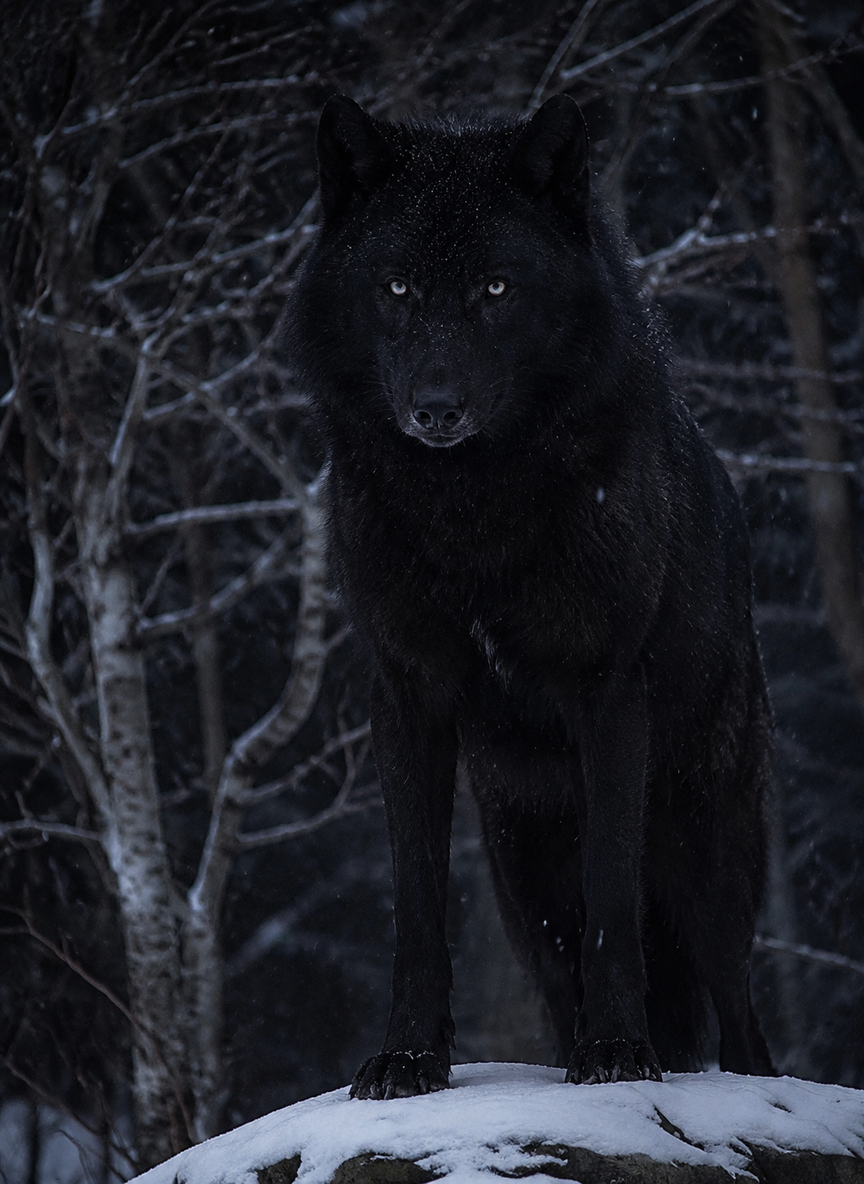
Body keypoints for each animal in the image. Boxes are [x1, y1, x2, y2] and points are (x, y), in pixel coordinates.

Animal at [290, 93, 774, 1099]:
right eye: (397, 288)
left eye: (496, 290)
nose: (435, 409)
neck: (471, 511)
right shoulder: (406, 696)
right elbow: (417, 905)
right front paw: (409, 1057)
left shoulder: (608, 691)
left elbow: (613, 903)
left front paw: (619, 1055)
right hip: (524, 884)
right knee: (564, 987)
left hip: (703, 858)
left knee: (742, 1019)